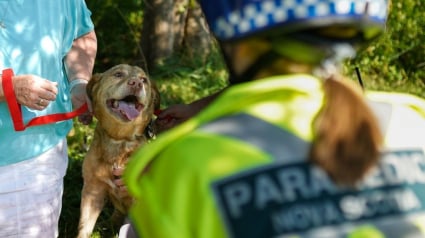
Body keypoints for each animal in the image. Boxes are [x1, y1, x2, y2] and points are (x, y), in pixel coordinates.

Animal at [76, 63, 159, 238]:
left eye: (144, 80)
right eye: (118, 74)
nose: (136, 83)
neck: (119, 140)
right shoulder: (92, 191)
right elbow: (84, 227)